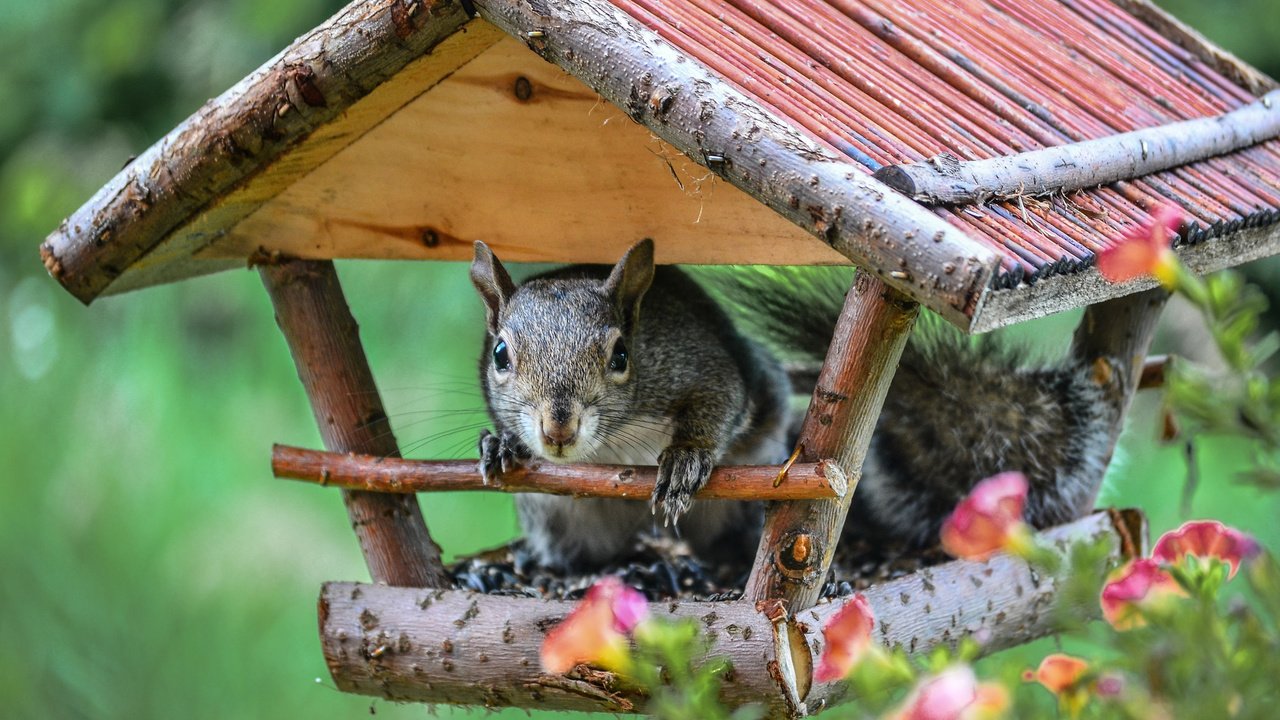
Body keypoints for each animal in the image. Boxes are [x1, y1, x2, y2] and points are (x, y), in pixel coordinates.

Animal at [465, 238, 1116, 568]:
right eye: (499, 354)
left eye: (621, 355)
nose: (556, 429)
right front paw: (498, 444)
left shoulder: (702, 365)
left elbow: (719, 403)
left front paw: (684, 459)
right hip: (559, 522)